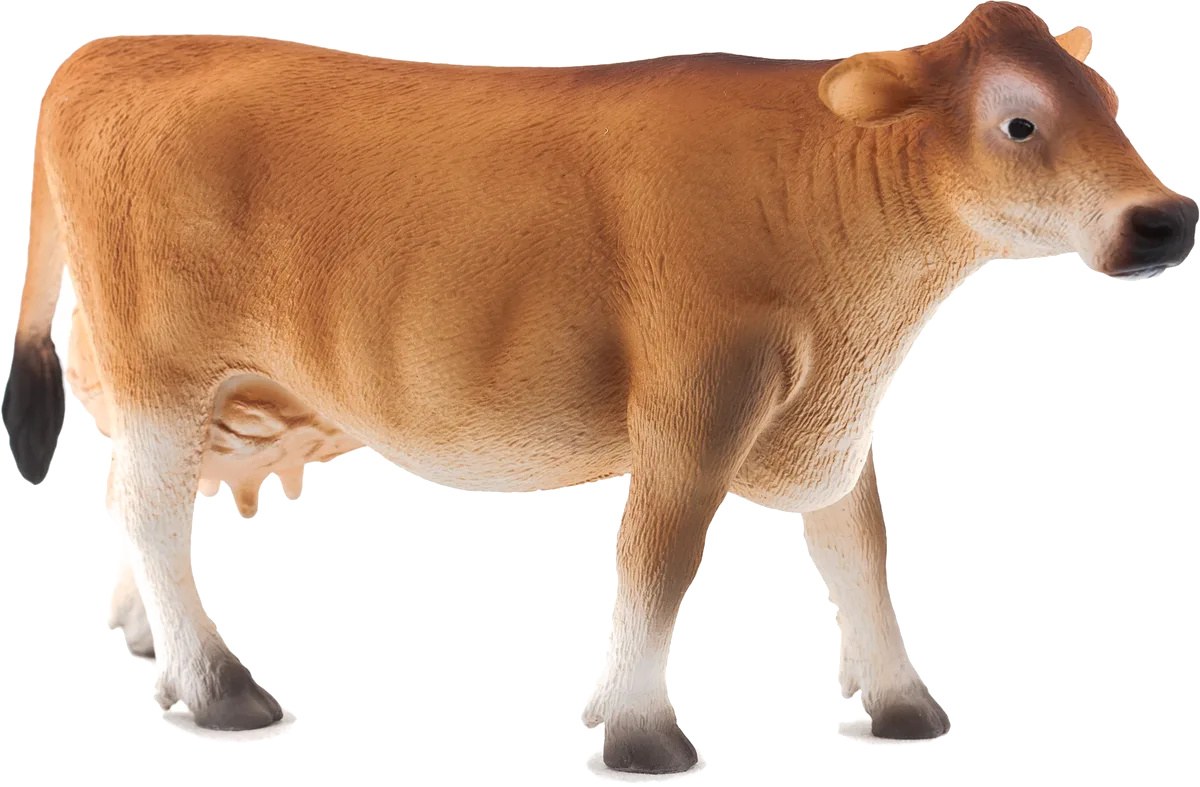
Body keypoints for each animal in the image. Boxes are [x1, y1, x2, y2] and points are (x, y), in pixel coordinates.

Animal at [2, 0, 1195, 774]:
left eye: (1107, 97)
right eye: (1019, 121)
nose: (1166, 220)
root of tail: (108, 50)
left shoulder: (830, 420)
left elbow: (860, 554)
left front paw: (902, 700)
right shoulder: (693, 404)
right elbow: (658, 566)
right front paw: (640, 730)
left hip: (191, 387)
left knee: (129, 493)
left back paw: (152, 649)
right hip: (162, 362)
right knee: (155, 509)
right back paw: (218, 688)